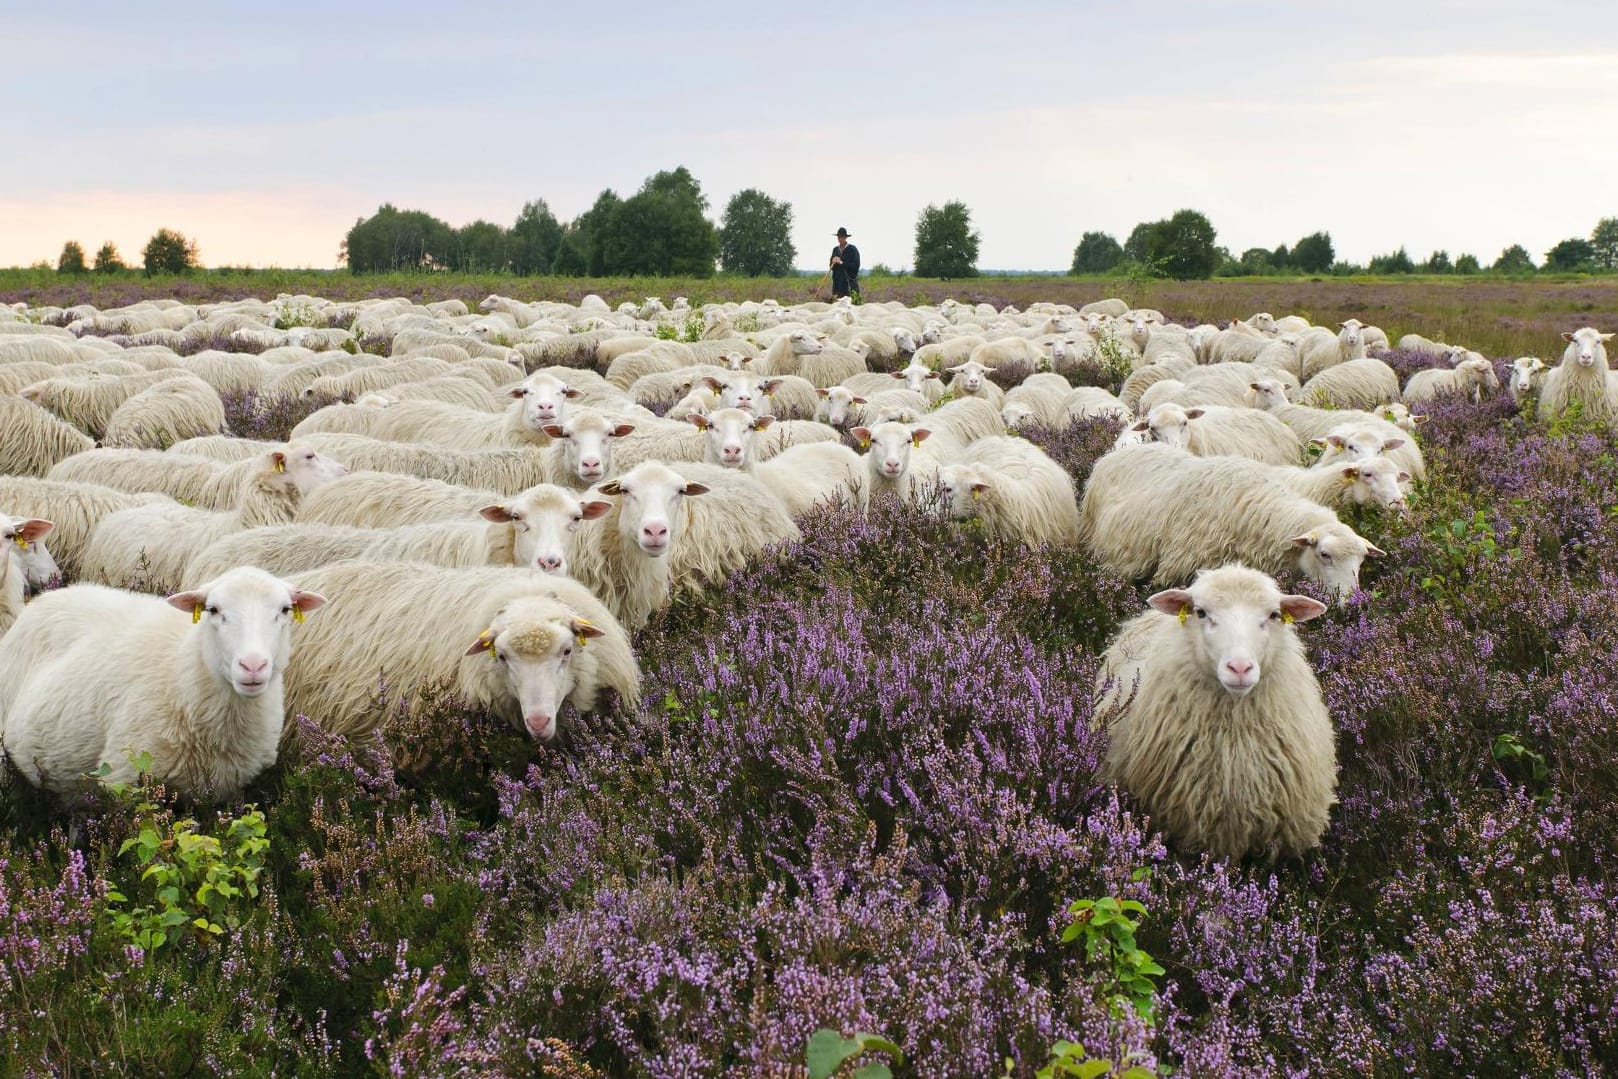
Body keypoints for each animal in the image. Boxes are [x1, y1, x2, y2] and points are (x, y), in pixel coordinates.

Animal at [0, 566, 325, 802]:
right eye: (213, 610)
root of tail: (48, 596)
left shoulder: (230, 788)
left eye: (285, 610)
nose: (253, 665)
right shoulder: (123, 780)